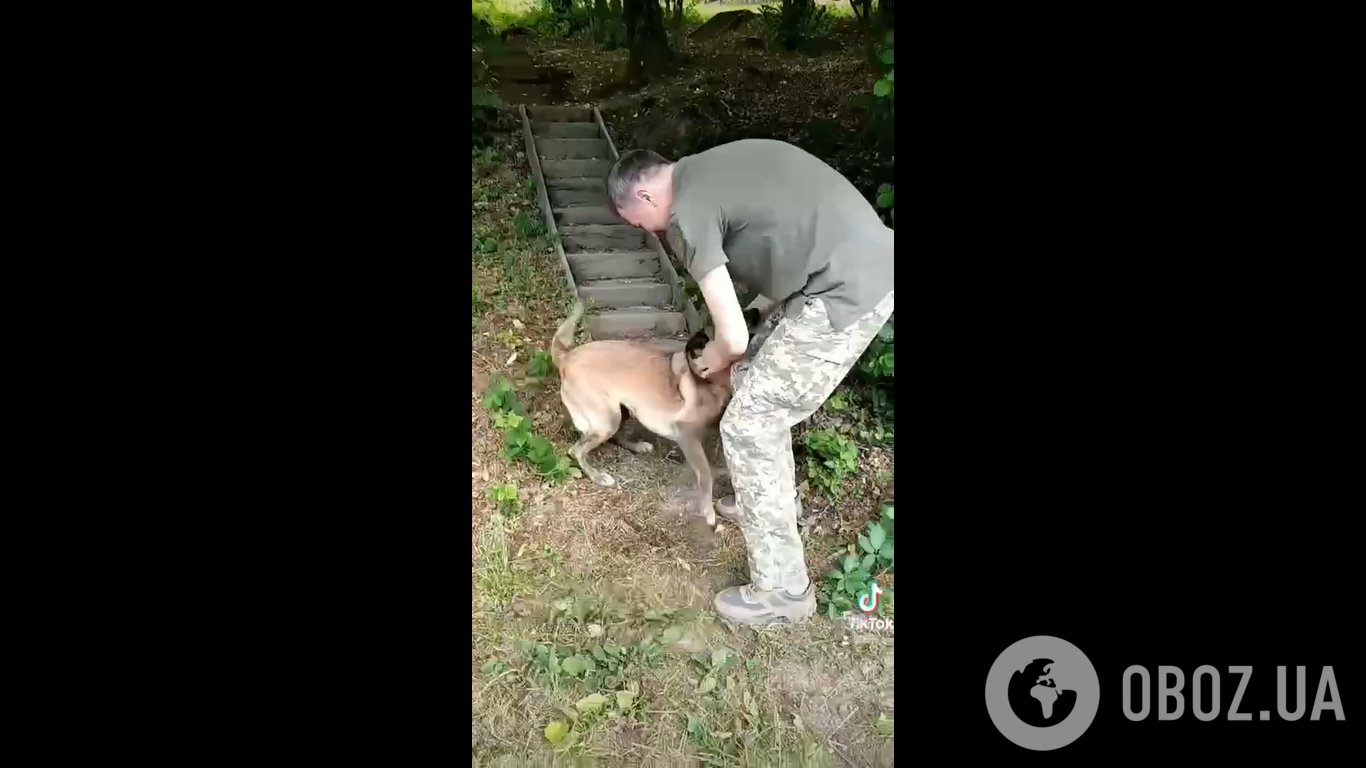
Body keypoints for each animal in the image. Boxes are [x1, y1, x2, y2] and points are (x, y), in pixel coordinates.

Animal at [546, 302, 748, 522]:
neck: (708, 379)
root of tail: (566, 357)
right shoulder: (686, 436)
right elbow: (705, 476)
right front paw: (708, 512)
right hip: (608, 419)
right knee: (577, 451)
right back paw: (597, 476)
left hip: (620, 411)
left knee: (615, 436)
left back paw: (637, 447)